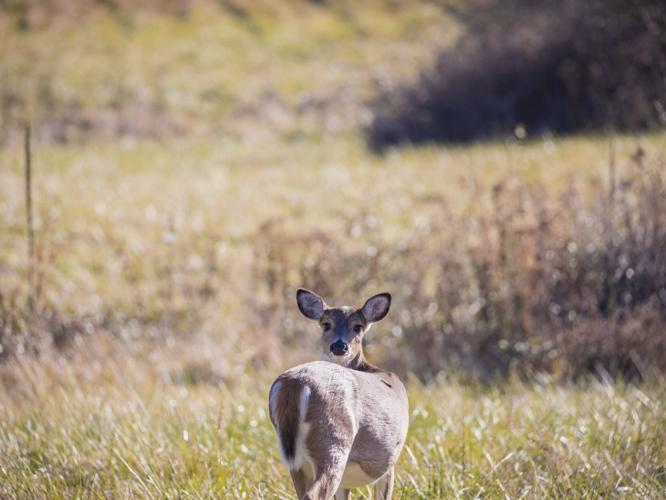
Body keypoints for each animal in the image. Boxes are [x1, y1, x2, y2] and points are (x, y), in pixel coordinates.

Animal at [268, 289, 409, 500]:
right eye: (326, 324)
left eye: (358, 327)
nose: (339, 346)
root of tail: (295, 385)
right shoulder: (390, 460)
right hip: (334, 440)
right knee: (314, 493)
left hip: (297, 459)